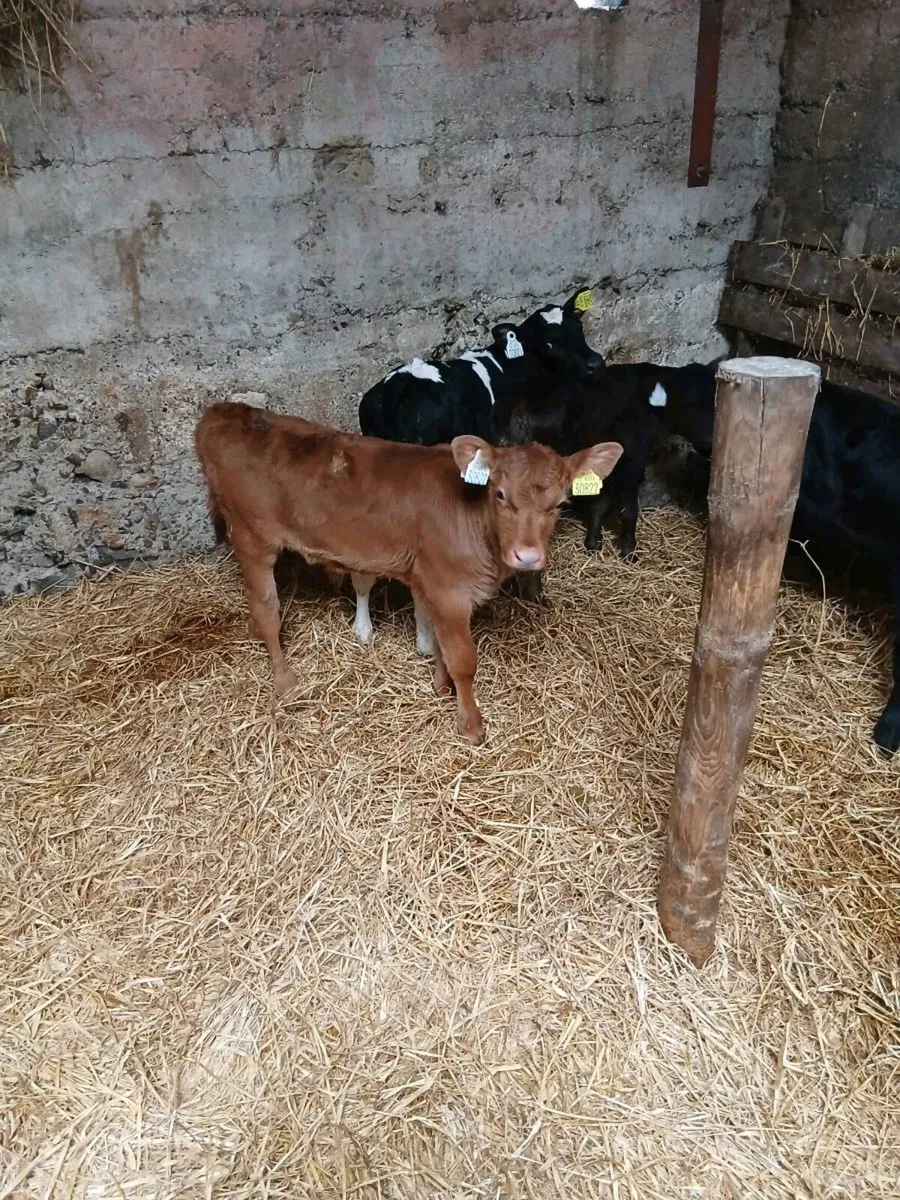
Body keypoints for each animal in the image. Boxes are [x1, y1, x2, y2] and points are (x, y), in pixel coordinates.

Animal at [194, 400, 622, 745]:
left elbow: (442, 647)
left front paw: (441, 687)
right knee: (267, 606)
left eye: (560, 503)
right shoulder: (449, 588)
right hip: (252, 535)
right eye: (500, 494)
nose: (528, 556)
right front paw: (470, 725)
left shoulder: (435, 584)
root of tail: (223, 411)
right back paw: (285, 681)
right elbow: (464, 658)